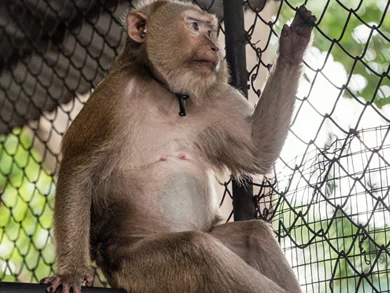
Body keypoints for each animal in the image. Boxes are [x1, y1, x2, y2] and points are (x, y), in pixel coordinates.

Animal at [40, 1, 314, 290]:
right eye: (194, 26)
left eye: (210, 31)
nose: (215, 48)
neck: (167, 93)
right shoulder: (112, 98)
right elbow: (78, 167)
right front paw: (71, 273)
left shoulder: (215, 99)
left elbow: (258, 149)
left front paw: (293, 47)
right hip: (138, 268)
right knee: (196, 248)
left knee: (254, 234)